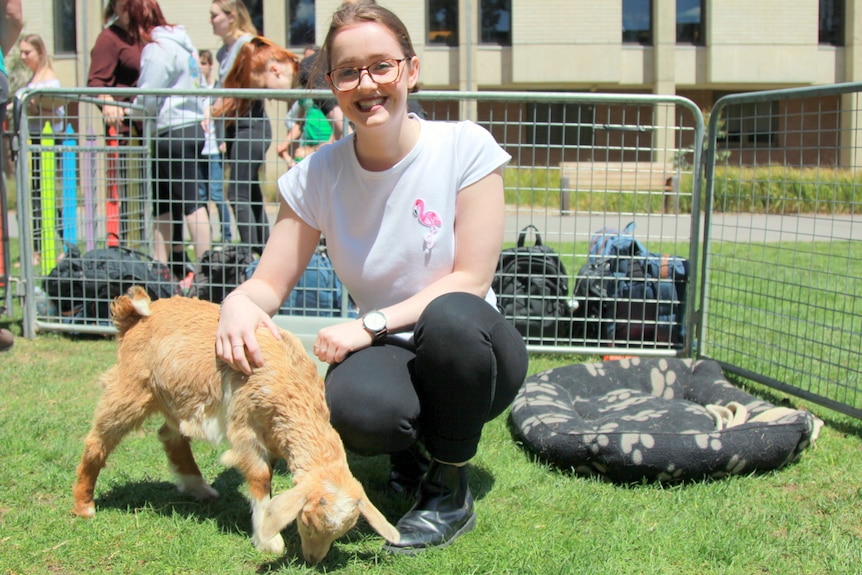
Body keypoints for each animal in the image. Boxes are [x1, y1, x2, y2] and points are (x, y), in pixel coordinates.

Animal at [72, 286, 400, 564]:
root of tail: (135, 314)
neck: (291, 385)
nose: (313, 560)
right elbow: (259, 477)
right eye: (306, 520)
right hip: (131, 388)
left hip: (176, 397)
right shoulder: (245, 427)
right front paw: (269, 540)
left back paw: (198, 487)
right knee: (97, 441)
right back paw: (83, 506)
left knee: (170, 435)